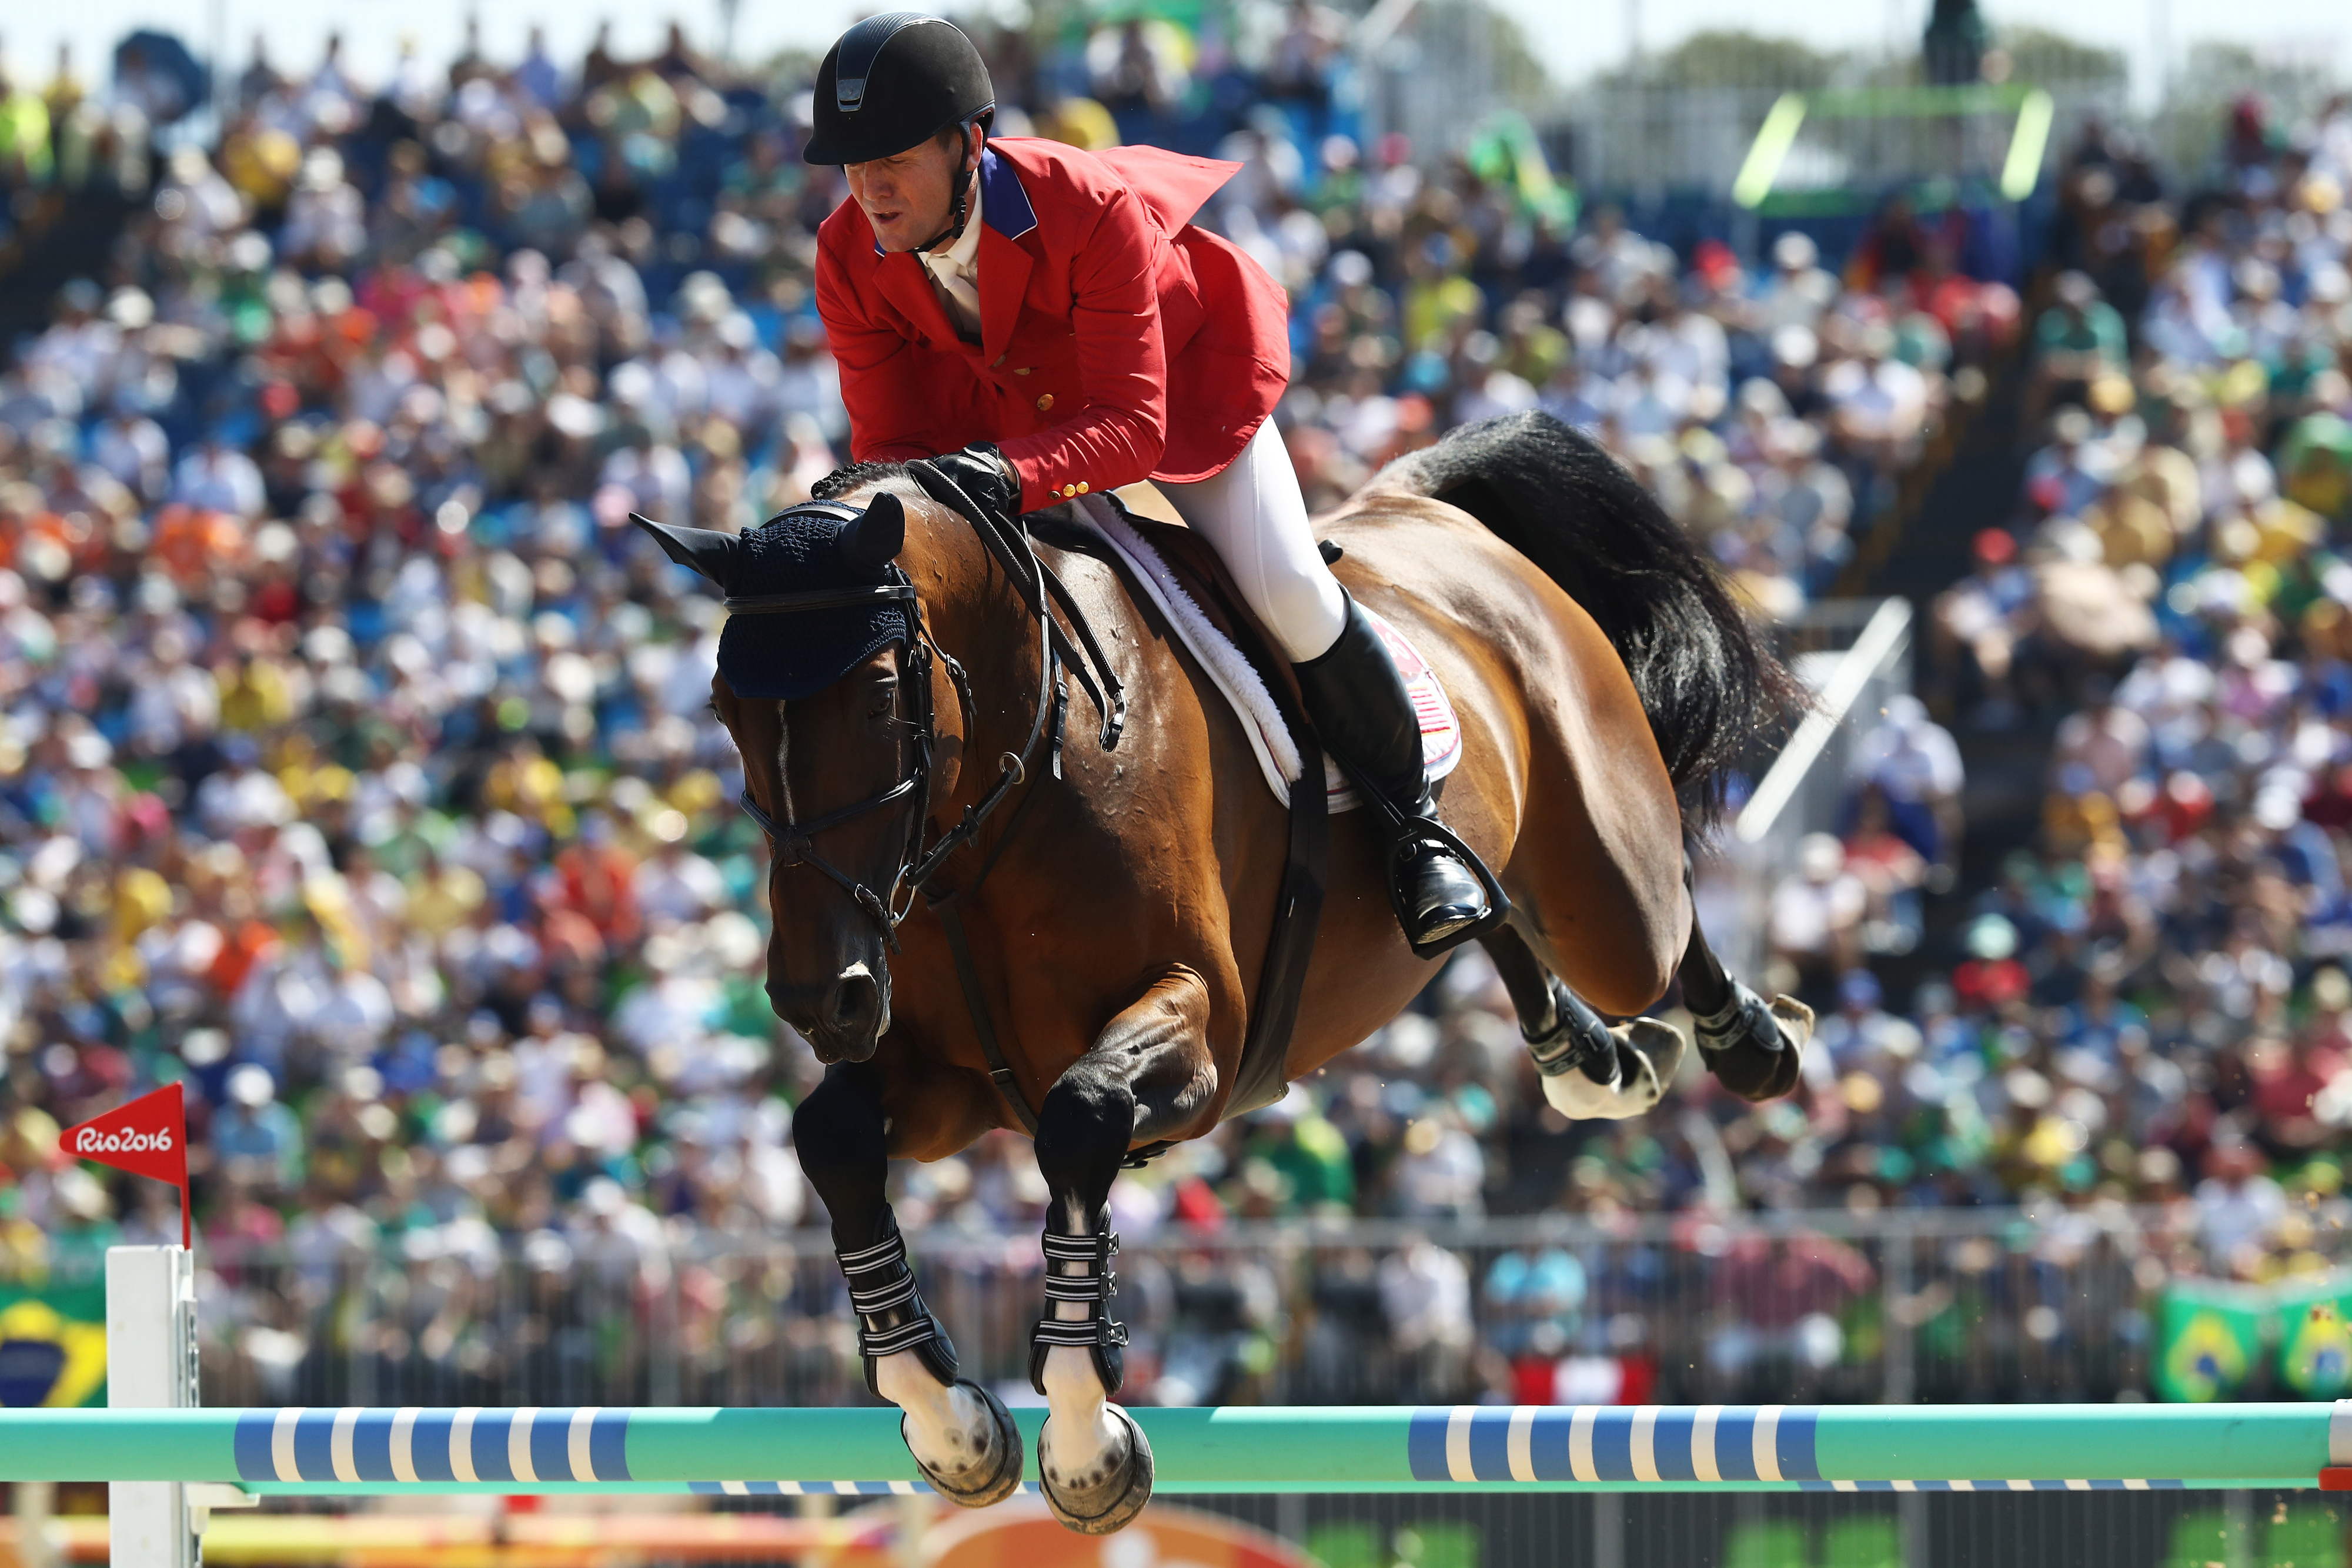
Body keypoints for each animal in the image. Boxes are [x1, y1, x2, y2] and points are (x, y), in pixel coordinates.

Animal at [643, 410, 1813, 1534]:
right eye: (723, 710)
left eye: (884, 696)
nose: (818, 996)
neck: (1015, 783)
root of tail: (1430, 511)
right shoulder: (949, 1084)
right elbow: (834, 1137)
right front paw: (950, 1422)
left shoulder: (1199, 1037)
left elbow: (1084, 1114)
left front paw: (1086, 1440)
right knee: (1492, 912)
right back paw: (1578, 1043)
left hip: (1606, 880)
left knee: (1656, 924)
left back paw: (1747, 1040)